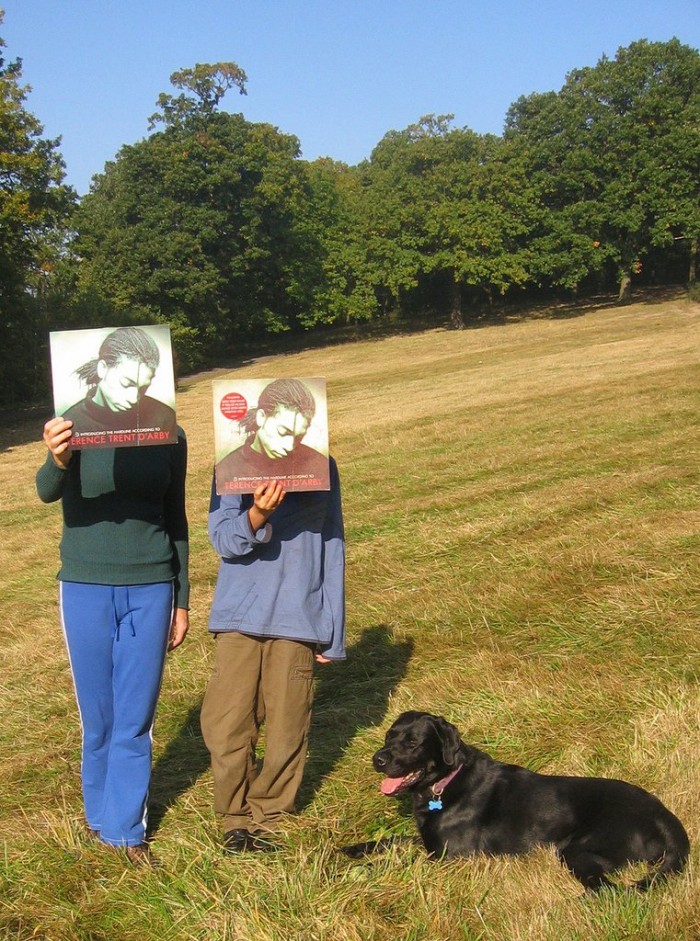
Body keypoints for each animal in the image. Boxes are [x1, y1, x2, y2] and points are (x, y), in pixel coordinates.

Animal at [344, 712, 688, 888]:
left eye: (413, 743)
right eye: (389, 736)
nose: (377, 759)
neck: (446, 783)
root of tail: (663, 814)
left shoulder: (449, 856)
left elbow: (399, 859)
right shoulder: (430, 843)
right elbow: (394, 841)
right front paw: (352, 849)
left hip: (577, 849)